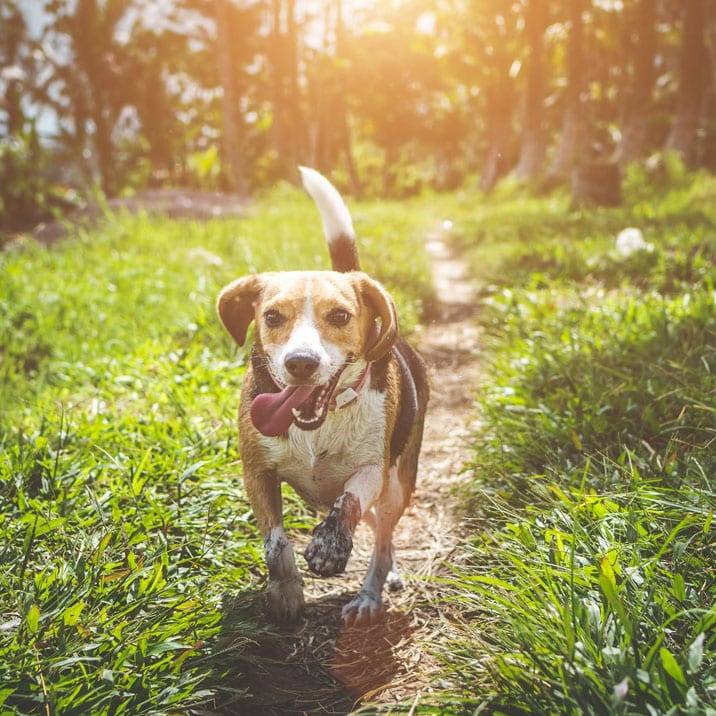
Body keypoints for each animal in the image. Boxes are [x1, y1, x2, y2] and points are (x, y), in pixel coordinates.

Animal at [218, 168, 428, 628]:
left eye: (340, 316)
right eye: (271, 316)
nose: (300, 362)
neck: (320, 423)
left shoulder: (373, 470)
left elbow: (348, 501)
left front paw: (330, 546)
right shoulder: (256, 473)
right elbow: (276, 543)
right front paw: (285, 593)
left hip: (398, 485)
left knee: (381, 539)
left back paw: (369, 594)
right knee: (380, 534)